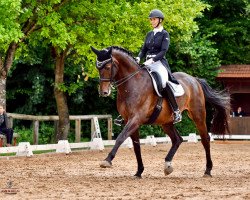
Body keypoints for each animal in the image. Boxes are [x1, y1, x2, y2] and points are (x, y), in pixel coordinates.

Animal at [90, 45, 230, 178]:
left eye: (108, 67)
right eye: (98, 68)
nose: (104, 92)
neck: (132, 84)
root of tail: (195, 80)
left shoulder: (136, 119)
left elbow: (120, 138)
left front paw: (107, 160)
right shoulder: (129, 120)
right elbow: (136, 146)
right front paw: (139, 171)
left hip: (198, 115)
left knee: (205, 139)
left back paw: (208, 170)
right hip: (166, 122)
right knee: (177, 139)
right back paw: (167, 165)